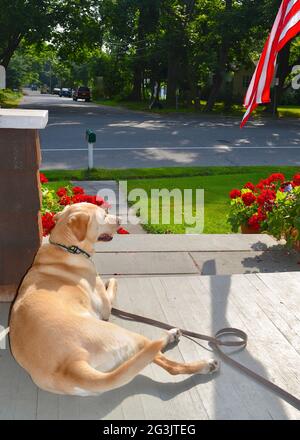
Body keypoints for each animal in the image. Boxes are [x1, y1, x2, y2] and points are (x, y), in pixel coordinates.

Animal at [9, 203, 219, 396]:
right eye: (104, 216)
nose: (119, 221)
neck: (67, 248)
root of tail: (71, 363)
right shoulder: (105, 306)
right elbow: (113, 282)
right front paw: (111, 280)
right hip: (128, 335)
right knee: (165, 361)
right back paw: (192, 353)